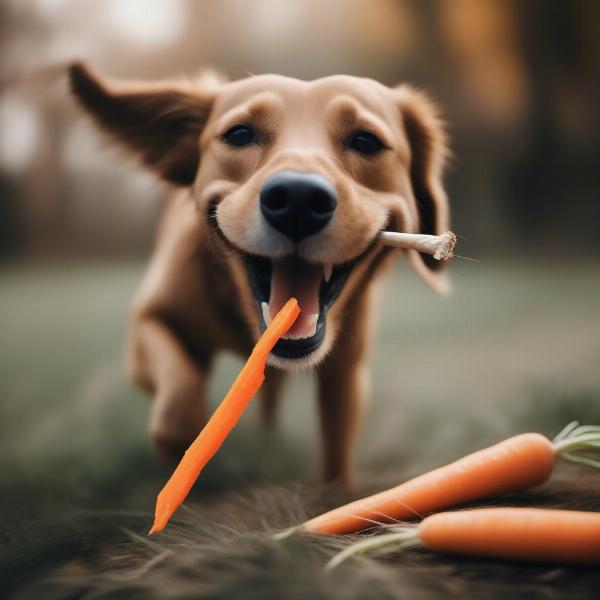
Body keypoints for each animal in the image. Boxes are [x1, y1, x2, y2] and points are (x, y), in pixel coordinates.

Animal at [68, 62, 450, 482]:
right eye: (239, 134)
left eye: (366, 141)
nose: (298, 200)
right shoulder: (146, 325)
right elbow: (179, 406)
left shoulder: (346, 375)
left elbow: (337, 455)